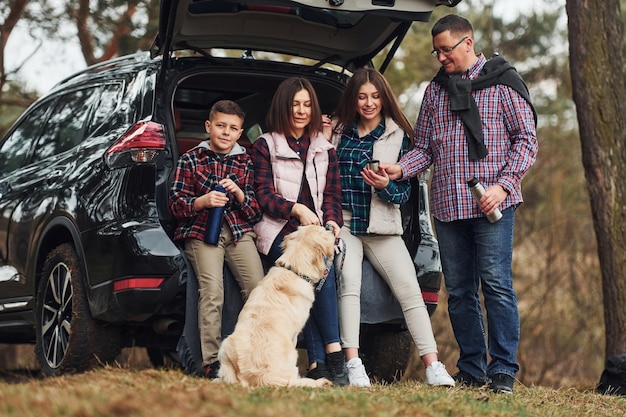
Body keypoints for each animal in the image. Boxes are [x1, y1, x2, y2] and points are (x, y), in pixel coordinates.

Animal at [219, 224, 336, 386]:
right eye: (323, 230)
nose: (331, 229)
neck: (294, 270)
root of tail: (252, 379)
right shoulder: (295, 334)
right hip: (292, 355)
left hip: (225, 347)